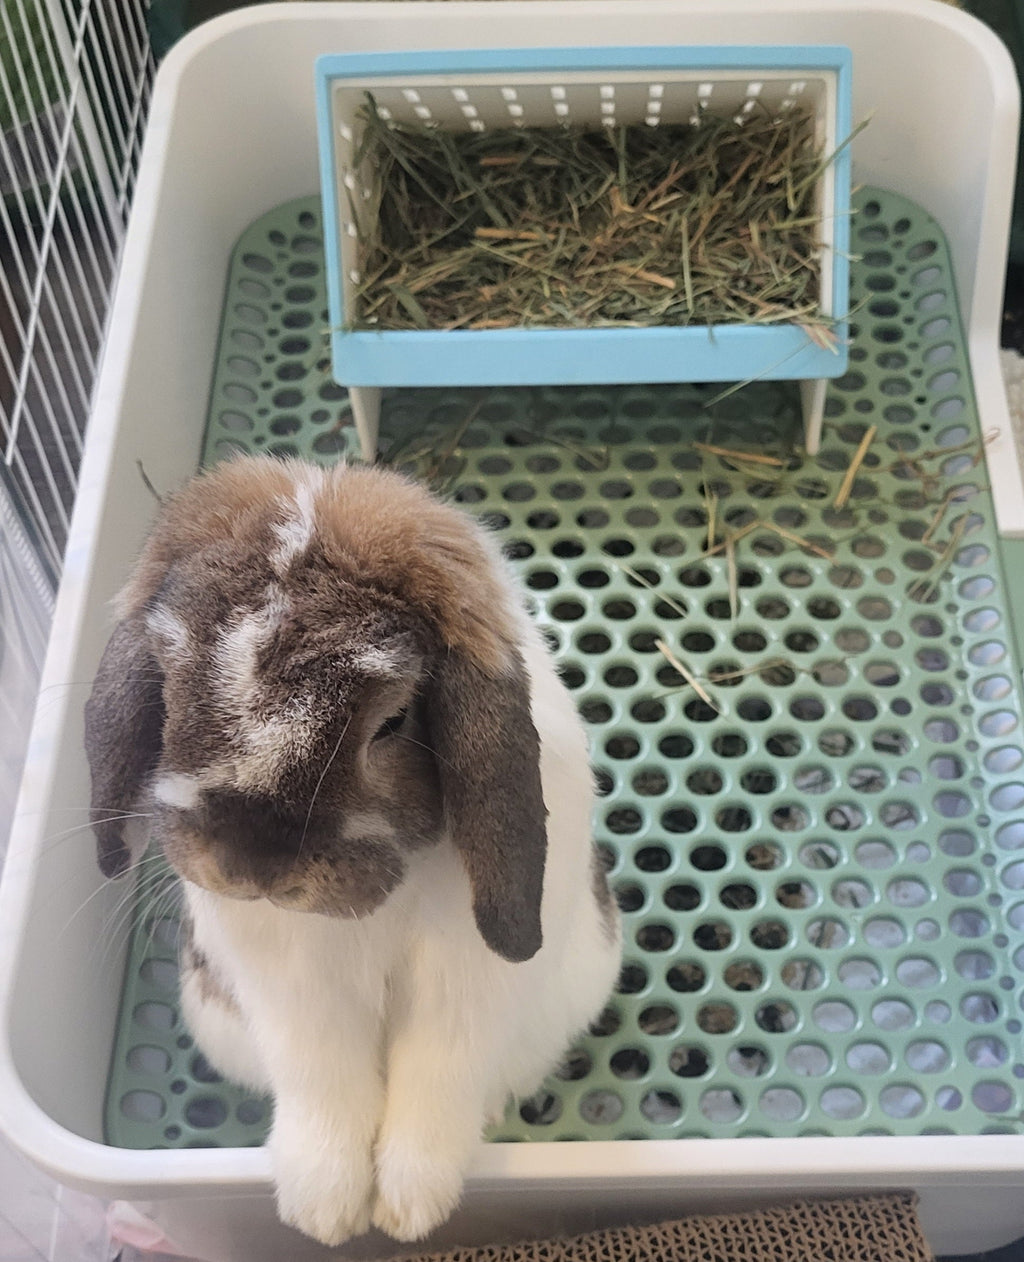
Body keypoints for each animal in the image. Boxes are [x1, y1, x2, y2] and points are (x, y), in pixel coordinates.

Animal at [84, 454, 622, 1247]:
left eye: (391, 723)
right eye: (170, 680)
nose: (252, 867)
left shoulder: (464, 987)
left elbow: (439, 1076)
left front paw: (409, 1209)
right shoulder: (297, 995)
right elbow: (324, 1082)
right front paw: (325, 1212)